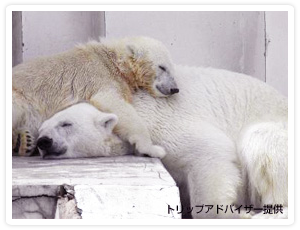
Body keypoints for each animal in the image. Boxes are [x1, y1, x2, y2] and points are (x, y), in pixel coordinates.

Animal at [12, 36, 179, 158]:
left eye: (171, 68)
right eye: (162, 67)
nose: (174, 88)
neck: (112, 59)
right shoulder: (100, 77)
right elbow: (114, 104)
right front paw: (153, 149)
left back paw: (24, 141)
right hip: (20, 97)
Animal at [36, 65, 288, 219]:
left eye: (66, 124)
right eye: (41, 128)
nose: (43, 142)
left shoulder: (158, 122)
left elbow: (211, 150)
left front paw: (233, 213)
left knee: (261, 142)